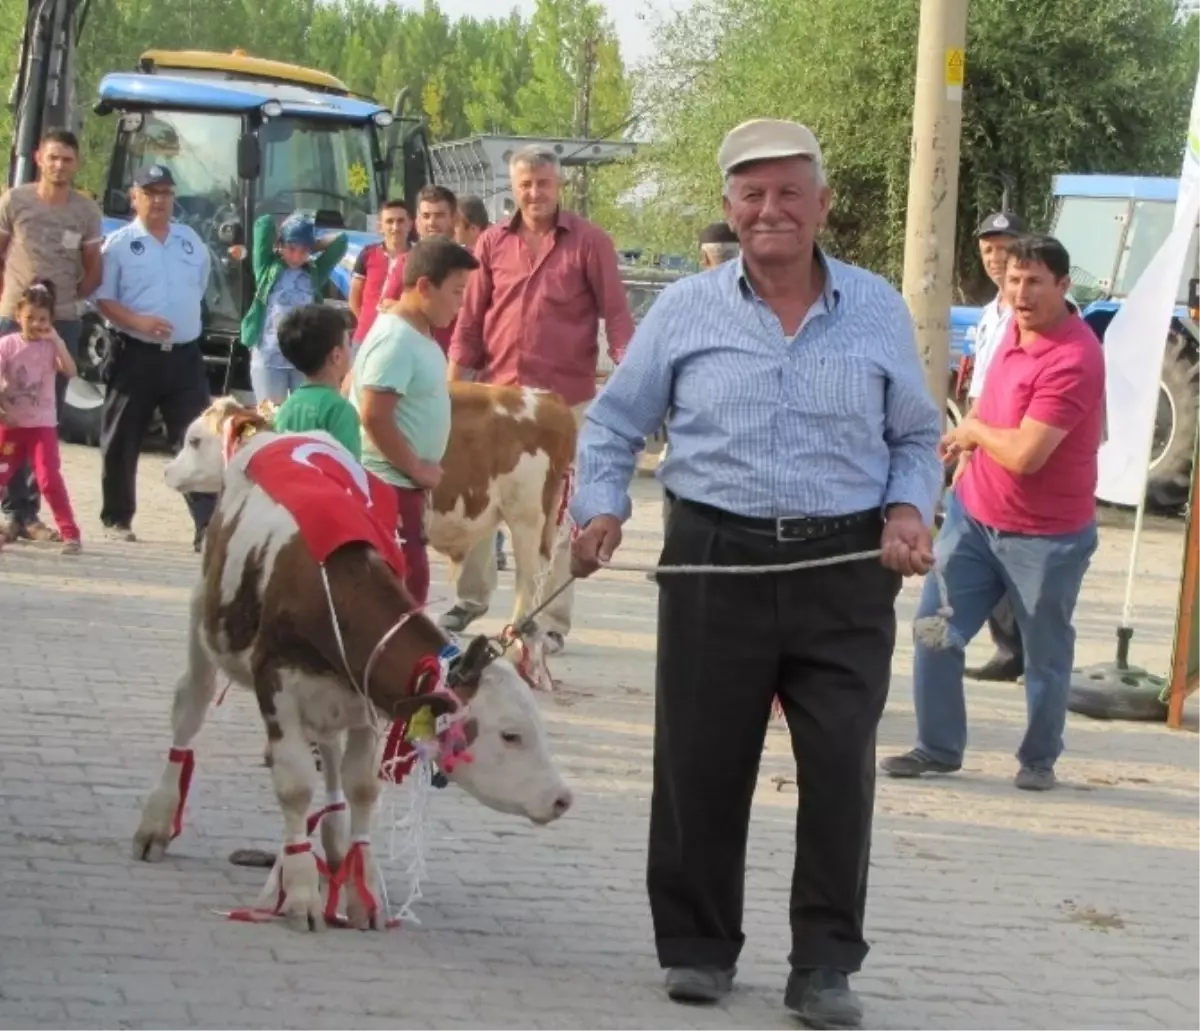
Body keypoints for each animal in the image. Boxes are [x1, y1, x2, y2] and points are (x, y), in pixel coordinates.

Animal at [138, 415, 568, 931]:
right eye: (510, 735)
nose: (562, 799)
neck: (329, 587)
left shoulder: (365, 698)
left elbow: (361, 786)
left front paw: (360, 889)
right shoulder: (277, 686)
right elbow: (295, 785)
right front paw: (301, 891)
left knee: (328, 751)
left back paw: (336, 842)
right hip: (202, 617)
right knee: (189, 710)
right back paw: (157, 822)